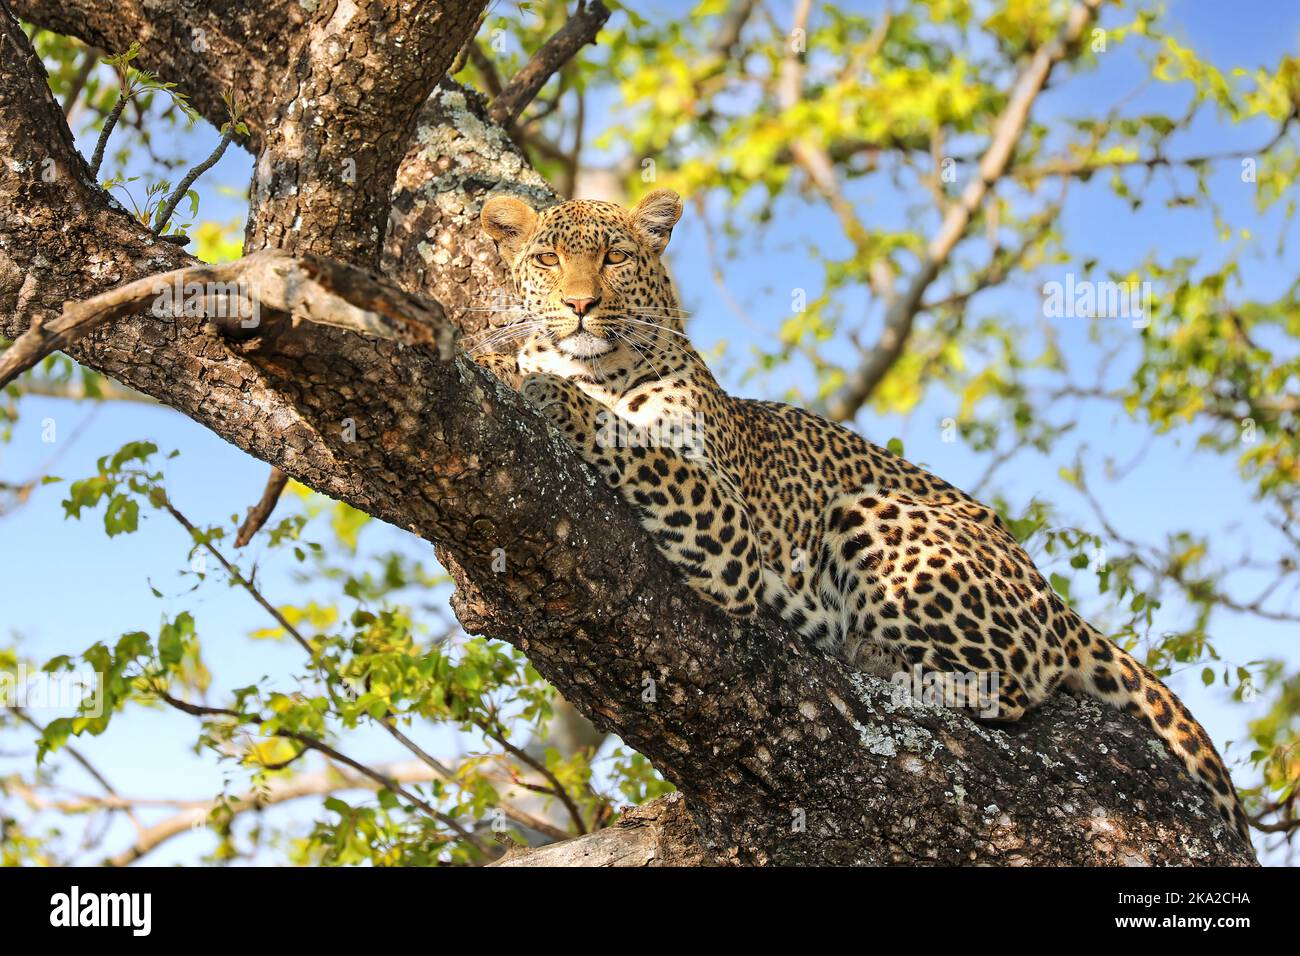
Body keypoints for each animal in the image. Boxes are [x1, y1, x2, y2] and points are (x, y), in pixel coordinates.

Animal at [475, 187, 1248, 842]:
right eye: (546, 259)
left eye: (615, 257)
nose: (579, 304)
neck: (595, 369)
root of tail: (1056, 599)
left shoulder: (727, 528)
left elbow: (628, 436)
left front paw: (542, 386)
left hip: (871, 511)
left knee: (1010, 684)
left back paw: (882, 663)